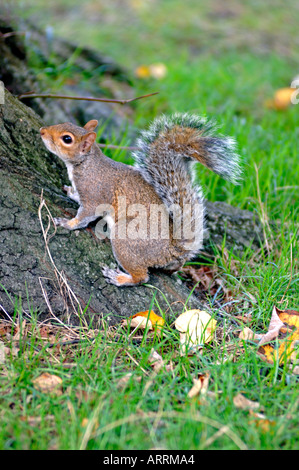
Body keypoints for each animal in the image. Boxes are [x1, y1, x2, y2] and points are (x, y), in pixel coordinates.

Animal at [40, 113, 241, 286]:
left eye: (67, 139)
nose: (42, 130)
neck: (87, 163)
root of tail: (170, 250)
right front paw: (71, 193)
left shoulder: (95, 194)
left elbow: (85, 216)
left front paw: (67, 223)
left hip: (125, 238)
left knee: (142, 277)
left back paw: (120, 278)